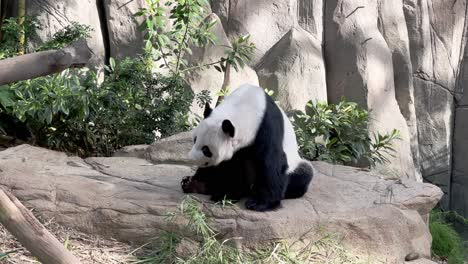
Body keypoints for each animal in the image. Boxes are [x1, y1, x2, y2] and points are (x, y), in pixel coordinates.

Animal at [181, 83, 312, 211]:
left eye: (206, 149)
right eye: (195, 139)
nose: (191, 158)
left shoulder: (268, 127)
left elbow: (270, 162)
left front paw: (259, 204)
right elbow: (229, 167)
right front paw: (224, 193)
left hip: (295, 166)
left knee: (304, 174)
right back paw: (196, 185)